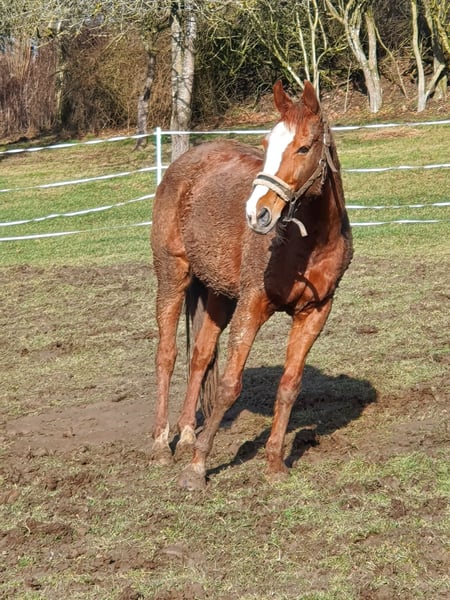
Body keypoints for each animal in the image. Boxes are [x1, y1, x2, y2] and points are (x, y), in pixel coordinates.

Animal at [150, 81, 353, 490]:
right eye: (265, 143)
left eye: (304, 147)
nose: (257, 213)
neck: (311, 242)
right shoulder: (253, 304)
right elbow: (230, 384)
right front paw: (197, 469)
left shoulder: (315, 312)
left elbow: (289, 386)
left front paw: (274, 463)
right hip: (172, 277)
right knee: (167, 356)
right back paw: (164, 445)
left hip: (218, 296)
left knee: (200, 356)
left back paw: (188, 432)